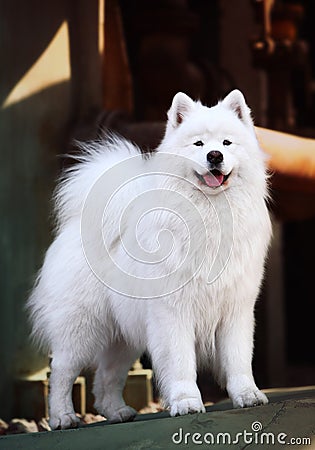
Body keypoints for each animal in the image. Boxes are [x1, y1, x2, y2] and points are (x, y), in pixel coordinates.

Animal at [28, 89, 272, 428]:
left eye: (226, 143)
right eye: (198, 144)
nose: (214, 156)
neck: (209, 214)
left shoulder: (235, 310)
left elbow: (238, 360)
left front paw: (247, 395)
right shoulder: (173, 313)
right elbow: (181, 364)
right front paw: (186, 403)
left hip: (122, 338)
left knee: (105, 378)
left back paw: (117, 412)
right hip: (81, 328)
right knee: (62, 373)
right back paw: (63, 417)